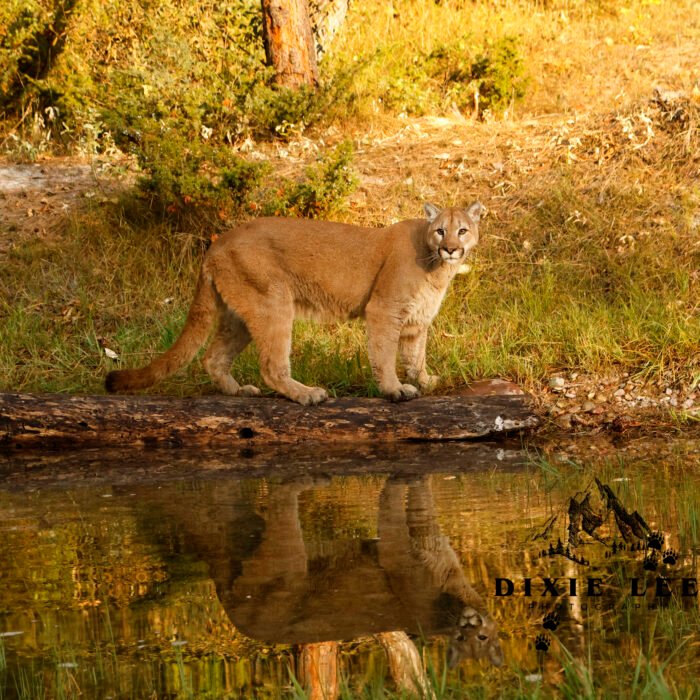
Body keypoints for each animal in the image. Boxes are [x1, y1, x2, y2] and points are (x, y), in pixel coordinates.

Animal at [106, 202, 483, 404]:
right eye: (440, 230)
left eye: (462, 230)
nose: (451, 248)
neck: (436, 268)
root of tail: (216, 243)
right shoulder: (383, 310)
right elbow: (385, 356)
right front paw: (394, 390)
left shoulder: (417, 321)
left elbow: (415, 357)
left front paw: (428, 381)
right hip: (274, 302)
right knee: (271, 365)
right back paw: (307, 394)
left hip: (240, 313)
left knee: (213, 358)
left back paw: (239, 391)